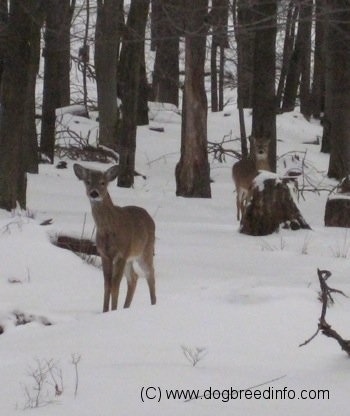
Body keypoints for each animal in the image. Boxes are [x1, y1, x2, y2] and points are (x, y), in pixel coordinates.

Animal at [73, 162, 156, 312]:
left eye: (103, 182)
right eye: (88, 181)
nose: (94, 193)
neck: (108, 229)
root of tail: (150, 218)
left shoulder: (121, 253)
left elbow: (115, 284)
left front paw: (113, 310)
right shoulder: (104, 254)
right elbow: (107, 284)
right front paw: (106, 311)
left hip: (145, 250)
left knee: (150, 274)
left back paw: (153, 304)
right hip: (130, 257)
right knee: (134, 278)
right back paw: (126, 307)